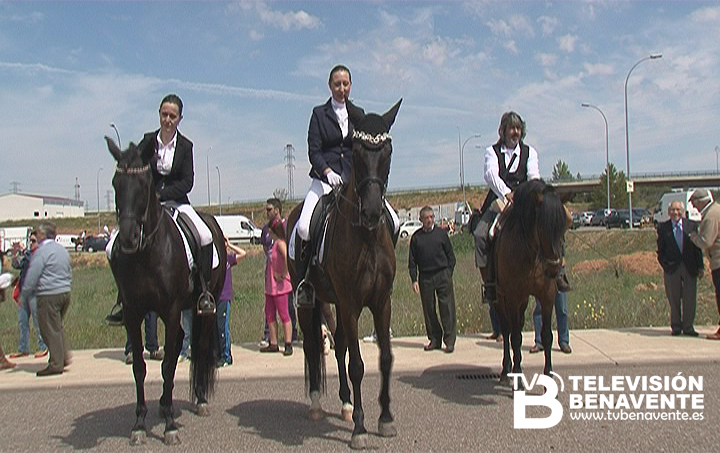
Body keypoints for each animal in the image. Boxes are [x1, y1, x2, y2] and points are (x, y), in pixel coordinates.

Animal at [105, 137, 226, 446]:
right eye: (115, 183)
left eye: (144, 184)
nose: (128, 239)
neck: (147, 253)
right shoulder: (134, 314)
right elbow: (140, 368)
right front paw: (139, 424)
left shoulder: (170, 312)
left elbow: (169, 364)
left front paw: (170, 425)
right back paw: (163, 404)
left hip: (205, 305)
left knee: (201, 346)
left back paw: (199, 400)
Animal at [286, 99, 401, 449]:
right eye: (358, 152)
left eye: (387, 151)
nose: (372, 212)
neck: (366, 236)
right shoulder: (350, 303)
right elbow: (357, 364)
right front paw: (361, 430)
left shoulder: (381, 302)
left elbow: (385, 358)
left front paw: (385, 419)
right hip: (309, 300)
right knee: (313, 346)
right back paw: (316, 405)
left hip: (334, 301)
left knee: (337, 346)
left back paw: (347, 404)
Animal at [492, 179, 569, 386]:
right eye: (542, 227)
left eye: (564, 227)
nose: (554, 268)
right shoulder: (512, 297)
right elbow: (515, 337)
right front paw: (517, 376)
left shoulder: (547, 295)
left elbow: (547, 335)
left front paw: (549, 375)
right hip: (500, 297)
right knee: (507, 330)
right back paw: (506, 371)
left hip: (524, 299)